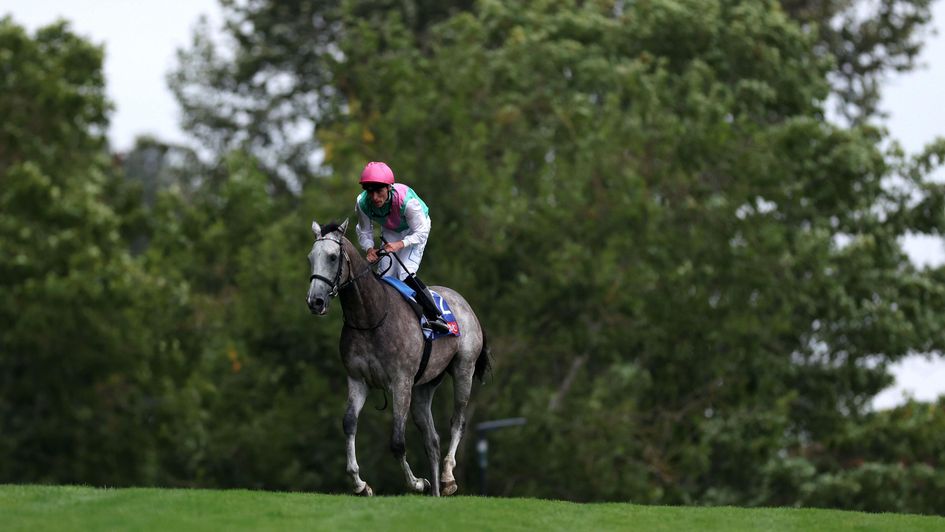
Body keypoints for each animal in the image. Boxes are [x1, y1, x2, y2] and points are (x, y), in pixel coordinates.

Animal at [306, 218, 490, 496]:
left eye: (332, 256)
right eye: (310, 258)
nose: (315, 301)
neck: (370, 317)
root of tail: (462, 301)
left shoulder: (401, 382)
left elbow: (397, 441)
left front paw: (417, 482)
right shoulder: (358, 380)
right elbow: (349, 423)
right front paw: (360, 484)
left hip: (463, 369)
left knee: (457, 421)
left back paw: (447, 478)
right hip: (424, 386)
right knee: (431, 439)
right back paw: (436, 492)